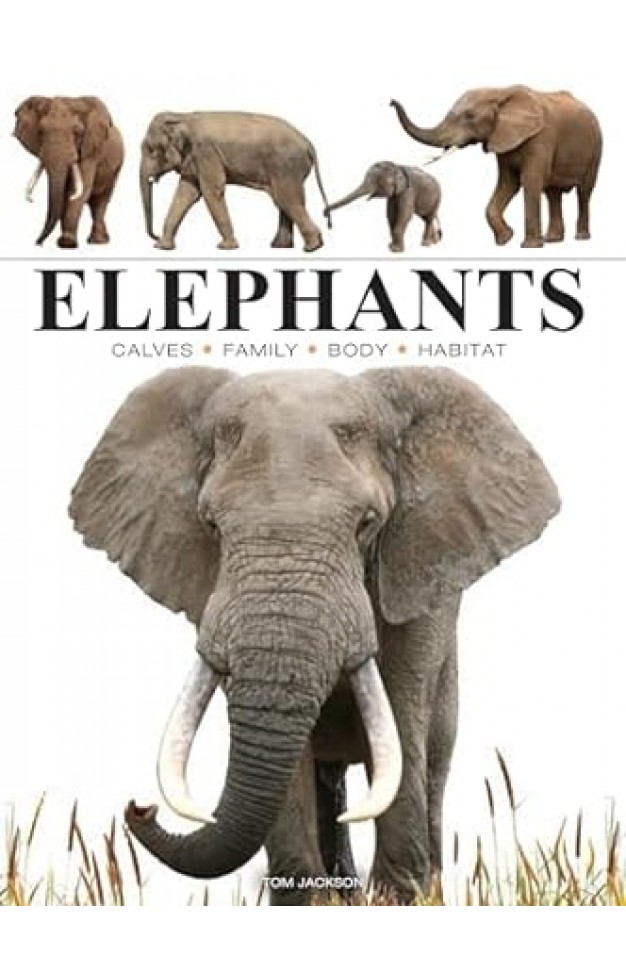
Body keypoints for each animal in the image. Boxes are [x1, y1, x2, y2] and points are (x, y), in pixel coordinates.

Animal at [13, 96, 124, 247]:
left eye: (78, 132)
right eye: (41, 131)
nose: (38, 242)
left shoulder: (91, 150)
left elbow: (78, 191)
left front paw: (67, 243)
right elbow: (64, 193)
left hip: (115, 169)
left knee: (100, 200)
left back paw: (98, 241)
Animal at [69, 366, 560, 904]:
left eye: (368, 523)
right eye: (211, 526)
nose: (139, 807)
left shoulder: (421, 575)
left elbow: (403, 713)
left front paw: (398, 899)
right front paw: (308, 900)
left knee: (432, 761)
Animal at [140, 111, 331, 252]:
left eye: (152, 151)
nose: (155, 236)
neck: (182, 116)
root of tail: (308, 143)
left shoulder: (206, 153)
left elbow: (211, 191)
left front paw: (225, 248)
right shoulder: (193, 159)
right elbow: (187, 193)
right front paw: (162, 247)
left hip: (286, 167)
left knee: (287, 200)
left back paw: (312, 248)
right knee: (284, 202)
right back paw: (282, 246)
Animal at [390, 87, 602, 248]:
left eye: (470, 116)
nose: (391, 102)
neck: (500, 91)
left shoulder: (541, 137)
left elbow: (529, 182)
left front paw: (529, 247)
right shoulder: (501, 138)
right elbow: (508, 184)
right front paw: (506, 240)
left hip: (596, 147)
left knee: (584, 191)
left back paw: (580, 238)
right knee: (553, 193)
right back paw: (553, 240)